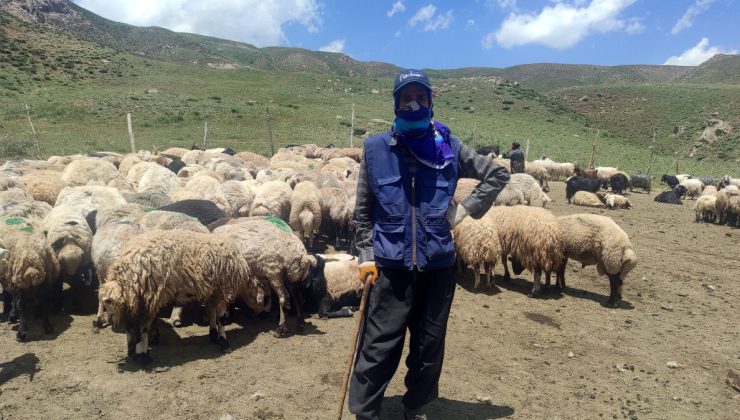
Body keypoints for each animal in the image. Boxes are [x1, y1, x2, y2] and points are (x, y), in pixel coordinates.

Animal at [97, 228, 262, 362]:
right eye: (263, 298)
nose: (260, 314)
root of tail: (122, 267)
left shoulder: (213, 291)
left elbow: (212, 312)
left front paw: (213, 334)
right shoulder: (222, 290)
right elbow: (221, 318)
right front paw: (224, 342)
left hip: (135, 298)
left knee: (131, 324)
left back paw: (132, 352)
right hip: (148, 296)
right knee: (141, 326)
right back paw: (143, 357)